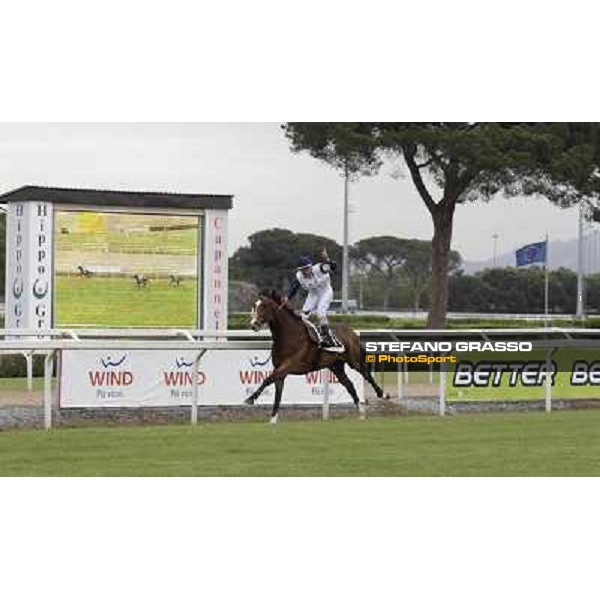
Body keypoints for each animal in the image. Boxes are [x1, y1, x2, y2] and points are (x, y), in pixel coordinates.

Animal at [246, 290, 386, 422]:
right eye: (254, 305)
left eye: (265, 306)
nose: (253, 324)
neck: (288, 335)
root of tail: (352, 332)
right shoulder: (280, 370)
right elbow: (277, 393)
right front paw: (273, 419)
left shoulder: (289, 365)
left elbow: (267, 380)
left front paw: (250, 399)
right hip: (336, 366)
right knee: (349, 385)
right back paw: (361, 412)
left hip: (354, 361)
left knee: (366, 374)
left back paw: (382, 394)